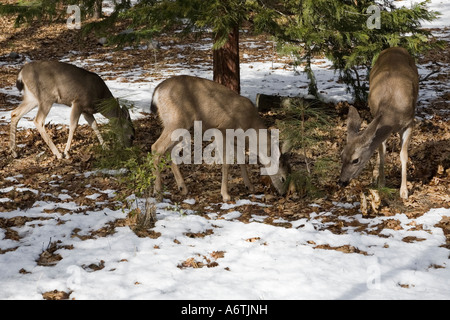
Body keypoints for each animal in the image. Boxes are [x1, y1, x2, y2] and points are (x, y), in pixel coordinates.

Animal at [151, 75, 290, 201]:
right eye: (283, 178)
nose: (283, 194)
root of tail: (157, 91)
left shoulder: (236, 140)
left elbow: (241, 160)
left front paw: (249, 186)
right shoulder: (222, 130)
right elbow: (226, 162)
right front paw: (225, 195)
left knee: (169, 150)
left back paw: (182, 188)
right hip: (176, 120)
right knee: (156, 147)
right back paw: (158, 192)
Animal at [340, 47, 420, 200]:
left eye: (355, 160)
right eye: (342, 155)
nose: (341, 182)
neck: (393, 110)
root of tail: (394, 47)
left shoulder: (409, 123)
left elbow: (403, 155)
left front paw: (404, 191)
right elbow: (382, 153)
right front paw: (381, 183)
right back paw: (375, 175)